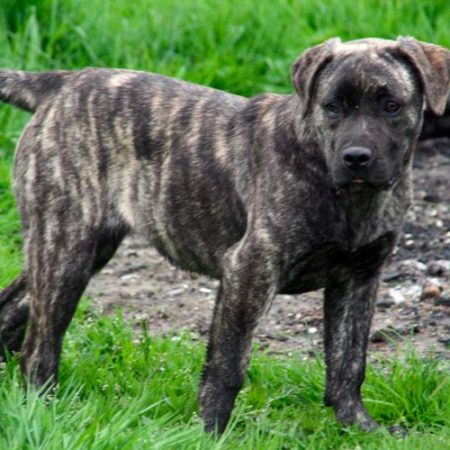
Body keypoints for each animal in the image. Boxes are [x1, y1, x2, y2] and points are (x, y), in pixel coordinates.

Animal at [0, 37, 449, 433]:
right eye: (332, 107)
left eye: (392, 106)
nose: (356, 157)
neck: (348, 196)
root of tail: (60, 83)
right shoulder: (249, 270)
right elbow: (228, 363)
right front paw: (209, 432)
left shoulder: (359, 277)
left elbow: (349, 360)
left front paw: (358, 427)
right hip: (66, 248)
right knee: (39, 345)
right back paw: (41, 408)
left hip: (77, 248)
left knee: (13, 307)